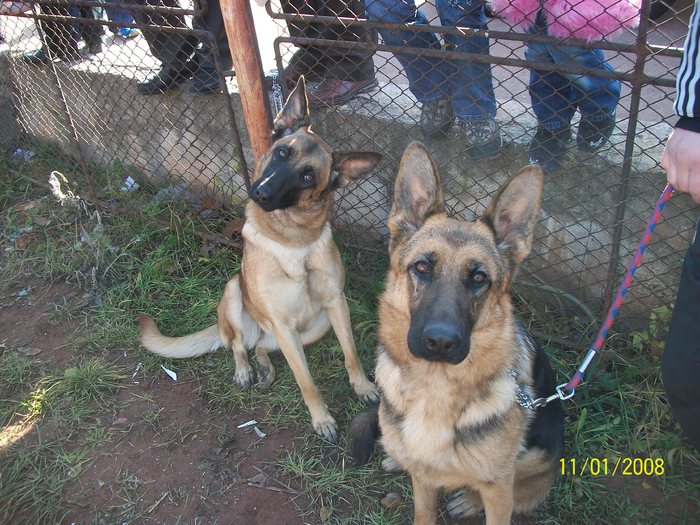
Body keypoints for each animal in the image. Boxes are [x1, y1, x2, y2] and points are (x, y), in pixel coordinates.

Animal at [139, 75, 380, 440]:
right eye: (282, 152)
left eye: (308, 175)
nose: (261, 192)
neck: (296, 241)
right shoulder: (282, 323)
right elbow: (306, 382)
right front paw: (321, 419)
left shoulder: (337, 305)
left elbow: (350, 354)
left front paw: (362, 386)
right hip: (234, 295)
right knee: (239, 345)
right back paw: (244, 370)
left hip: (314, 326)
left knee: (262, 348)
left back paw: (265, 366)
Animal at [350, 142, 564, 524]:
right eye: (422, 266)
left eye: (479, 278)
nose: (440, 342)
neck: (435, 386)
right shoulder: (422, 482)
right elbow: (423, 510)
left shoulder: (499, 488)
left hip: (536, 456)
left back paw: (469, 498)